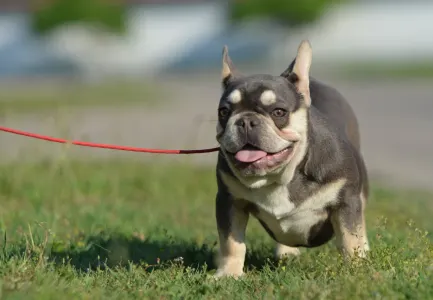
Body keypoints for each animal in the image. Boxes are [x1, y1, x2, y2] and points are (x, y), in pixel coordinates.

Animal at [213, 40, 368, 278]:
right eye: (223, 112)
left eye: (278, 112)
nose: (246, 121)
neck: (280, 177)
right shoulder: (229, 201)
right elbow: (231, 243)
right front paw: (229, 274)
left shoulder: (346, 201)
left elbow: (351, 239)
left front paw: (357, 271)